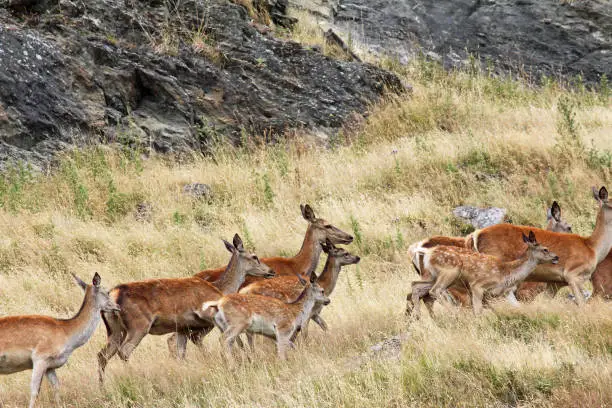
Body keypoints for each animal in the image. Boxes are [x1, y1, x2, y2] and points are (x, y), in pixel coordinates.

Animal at [0, 272, 118, 408]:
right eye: (107, 291)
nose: (118, 306)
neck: (66, 333)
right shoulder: (40, 358)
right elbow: (35, 391)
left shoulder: (50, 366)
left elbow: (56, 386)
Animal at [97, 234, 272, 380]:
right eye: (254, 256)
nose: (271, 271)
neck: (220, 289)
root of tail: (114, 294)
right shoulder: (207, 316)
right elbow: (231, 338)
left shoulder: (182, 327)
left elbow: (181, 351)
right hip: (138, 326)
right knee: (124, 351)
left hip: (115, 330)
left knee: (102, 355)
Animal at [412, 231, 560, 318]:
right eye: (545, 249)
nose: (556, 257)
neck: (505, 273)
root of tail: (428, 253)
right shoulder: (477, 285)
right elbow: (478, 311)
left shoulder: (498, 294)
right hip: (449, 272)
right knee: (434, 291)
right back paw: (453, 313)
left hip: (432, 276)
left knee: (415, 285)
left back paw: (418, 316)